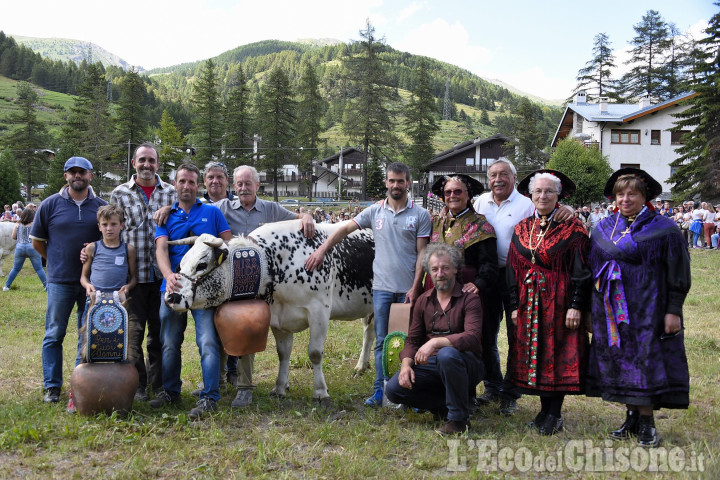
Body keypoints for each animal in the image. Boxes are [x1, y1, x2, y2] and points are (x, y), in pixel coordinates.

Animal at [164, 219, 376, 404]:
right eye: (181, 264)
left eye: (201, 265)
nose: (170, 297)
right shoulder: (279, 317)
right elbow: (283, 353)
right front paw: (280, 388)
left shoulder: (319, 311)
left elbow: (315, 353)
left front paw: (320, 392)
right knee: (369, 332)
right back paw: (361, 366)